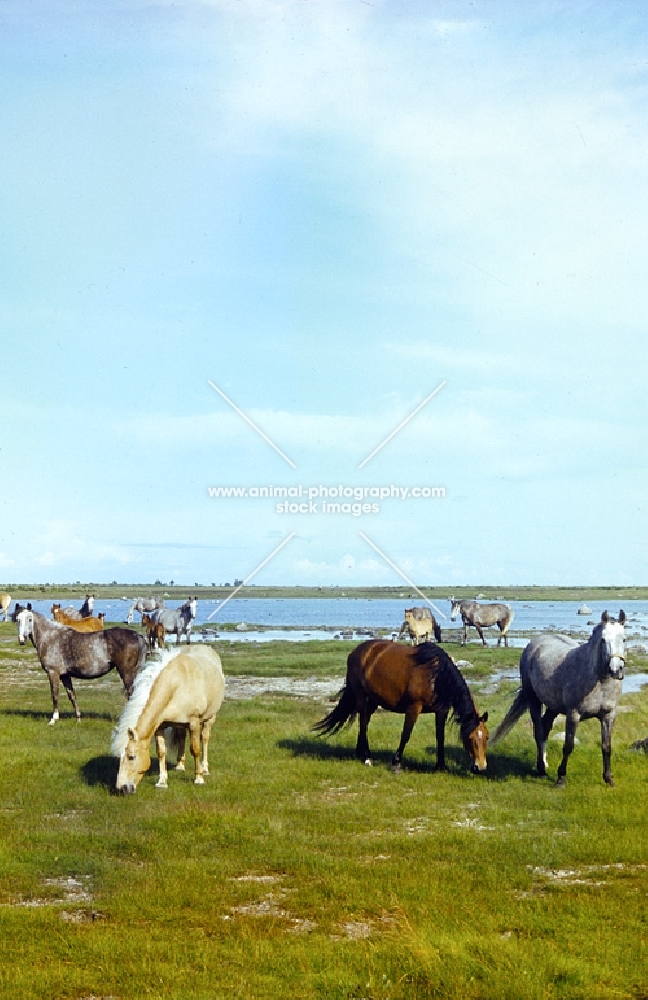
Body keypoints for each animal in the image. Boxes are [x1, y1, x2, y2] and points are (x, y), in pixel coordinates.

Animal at [16, 608, 148, 728]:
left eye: (29, 619)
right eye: (18, 620)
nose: (22, 639)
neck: (51, 638)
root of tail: (138, 636)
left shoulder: (53, 673)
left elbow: (55, 695)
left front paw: (53, 720)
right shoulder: (65, 675)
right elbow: (72, 695)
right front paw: (78, 718)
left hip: (126, 673)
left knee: (131, 694)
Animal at [312, 640, 486, 772]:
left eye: (486, 737)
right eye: (470, 738)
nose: (481, 767)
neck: (436, 677)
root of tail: (357, 651)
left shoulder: (441, 711)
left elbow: (440, 736)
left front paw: (440, 765)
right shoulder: (414, 708)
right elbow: (406, 734)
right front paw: (396, 762)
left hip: (373, 700)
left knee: (365, 722)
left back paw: (360, 752)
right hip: (361, 696)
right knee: (362, 722)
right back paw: (367, 757)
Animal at [492, 612, 628, 784]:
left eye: (624, 639)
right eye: (603, 640)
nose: (616, 670)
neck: (599, 682)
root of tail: (535, 644)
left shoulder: (609, 715)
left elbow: (606, 746)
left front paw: (608, 778)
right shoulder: (573, 714)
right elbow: (568, 745)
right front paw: (561, 778)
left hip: (553, 706)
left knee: (545, 727)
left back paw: (543, 764)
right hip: (534, 699)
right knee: (538, 730)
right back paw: (541, 770)